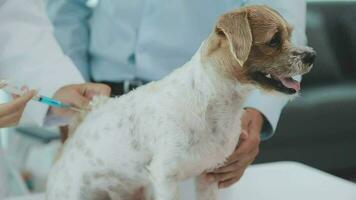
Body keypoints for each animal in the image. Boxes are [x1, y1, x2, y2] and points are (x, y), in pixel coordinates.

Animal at [46, 5, 314, 199]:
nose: (311, 55)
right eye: (273, 40)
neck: (210, 102)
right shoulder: (165, 178)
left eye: (290, 34)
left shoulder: (209, 176)